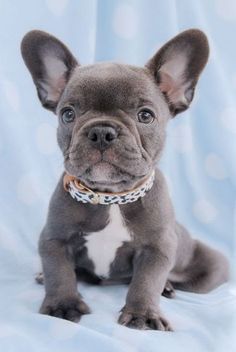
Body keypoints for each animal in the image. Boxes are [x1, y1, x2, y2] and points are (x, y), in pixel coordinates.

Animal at [21, 28, 229, 330]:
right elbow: (59, 272)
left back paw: (168, 287)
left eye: (145, 115)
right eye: (68, 114)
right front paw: (62, 305)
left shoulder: (157, 248)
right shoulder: (54, 238)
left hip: (208, 268)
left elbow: (146, 281)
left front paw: (143, 314)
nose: (101, 132)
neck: (111, 197)